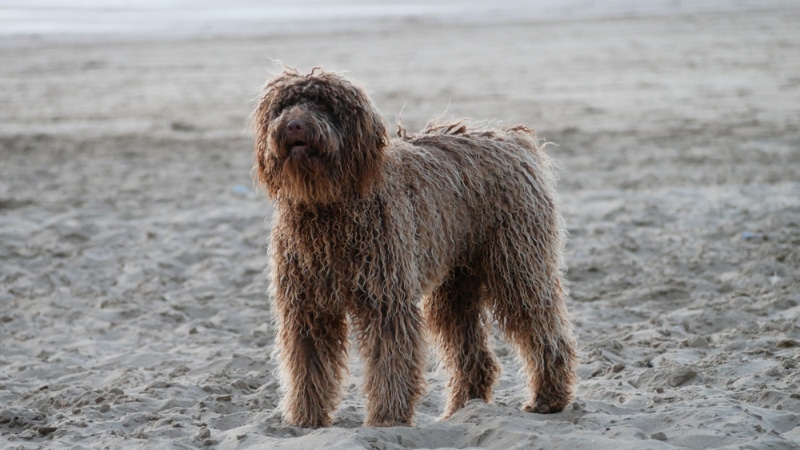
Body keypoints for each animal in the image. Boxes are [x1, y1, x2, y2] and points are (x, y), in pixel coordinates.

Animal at [253, 68, 580, 428]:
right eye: (283, 106)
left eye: (324, 104)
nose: (294, 125)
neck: (326, 208)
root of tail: (513, 139)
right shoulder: (307, 307)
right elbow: (307, 365)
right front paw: (305, 419)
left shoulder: (385, 301)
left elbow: (390, 362)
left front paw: (387, 418)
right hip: (456, 287)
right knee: (473, 355)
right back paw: (461, 409)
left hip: (518, 266)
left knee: (543, 328)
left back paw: (548, 397)